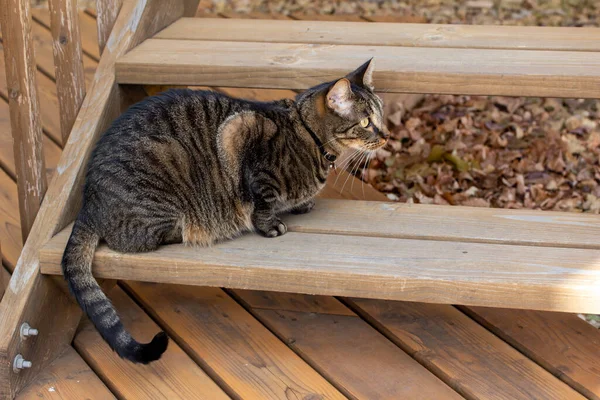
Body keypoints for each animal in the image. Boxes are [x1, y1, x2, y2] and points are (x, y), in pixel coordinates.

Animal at [61, 60, 390, 366]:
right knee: (135, 239)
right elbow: (263, 203)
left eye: (381, 115)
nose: (387, 136)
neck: (309, 138)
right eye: (365, 121)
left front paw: (301, 204)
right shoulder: (241, 135)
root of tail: (89, 201)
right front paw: (271, 224)